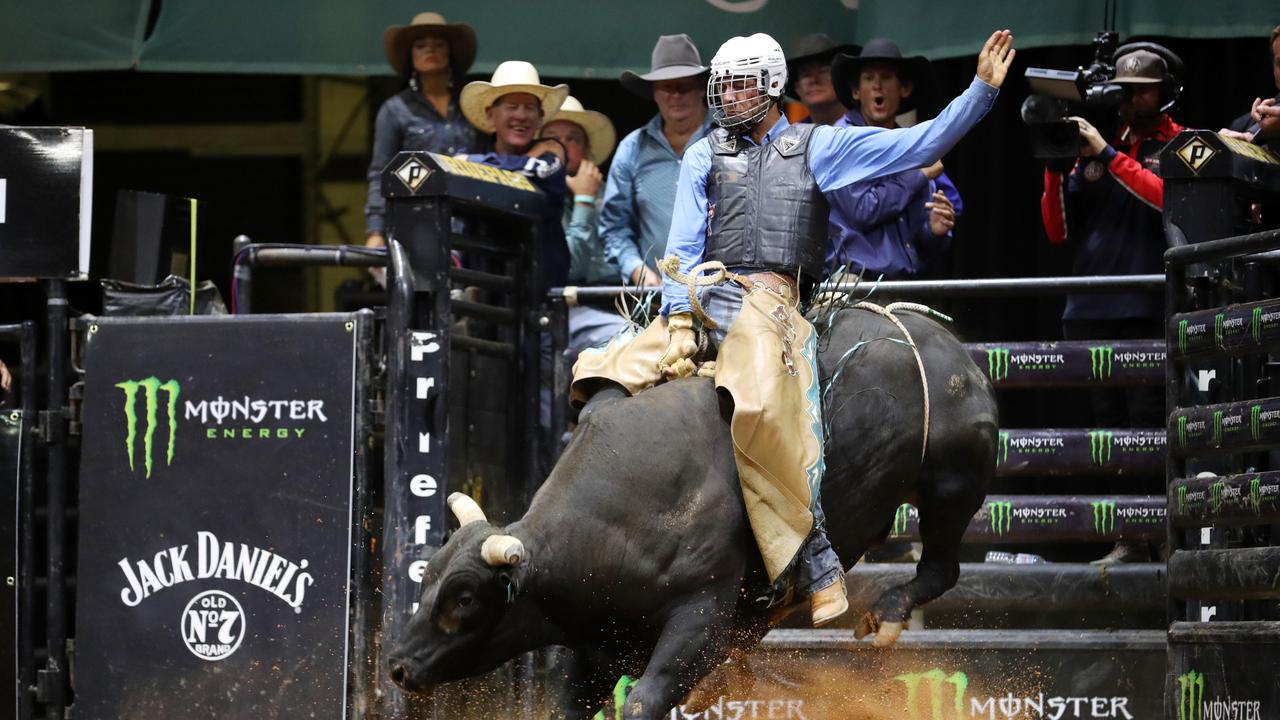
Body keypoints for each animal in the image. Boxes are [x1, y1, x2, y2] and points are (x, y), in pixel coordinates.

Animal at [386, 304, 998, 712]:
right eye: (427, 579)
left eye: (465, 597)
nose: (397, 665)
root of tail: (945, 345)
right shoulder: (596, 642)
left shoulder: (698, 618)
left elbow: (645, 699)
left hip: (951, 483)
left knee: (941, 566)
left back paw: (888, 612)